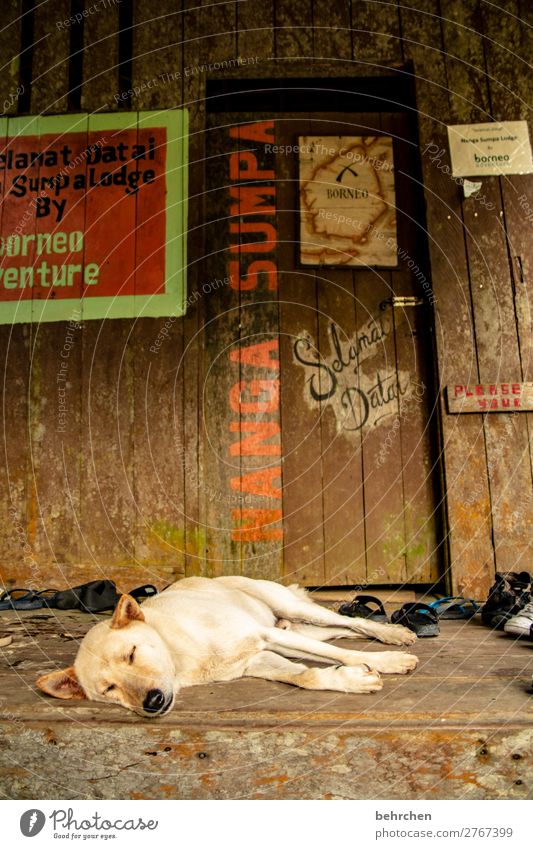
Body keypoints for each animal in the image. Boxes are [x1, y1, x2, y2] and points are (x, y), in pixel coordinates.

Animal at [37, 572, 418, 712]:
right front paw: (351, 679)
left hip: (287, 610)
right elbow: (307, 675)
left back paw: (393, 634)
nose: (153, 702)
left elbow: (335, 654)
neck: (182, 655)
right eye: (109, 689)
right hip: (292, 632)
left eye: (131, 654)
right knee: (341, 631)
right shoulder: (259, 658)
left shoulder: (264, 636)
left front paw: (385, 664)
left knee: (345, 623)